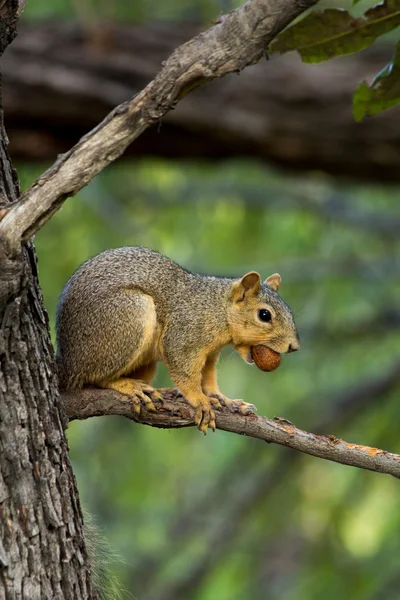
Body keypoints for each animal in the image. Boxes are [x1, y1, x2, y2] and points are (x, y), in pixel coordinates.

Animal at [56, 246, 300, 434]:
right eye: (264, 315)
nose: (294, 347)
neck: (217, 309)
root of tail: (68, 363)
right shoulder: (184, 336)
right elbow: (185, 373)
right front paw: (200, 401)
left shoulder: (211, 353)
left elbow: (208, 378)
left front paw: (223, 399)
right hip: (127, 319)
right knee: (95, 377)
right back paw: (128, 386)